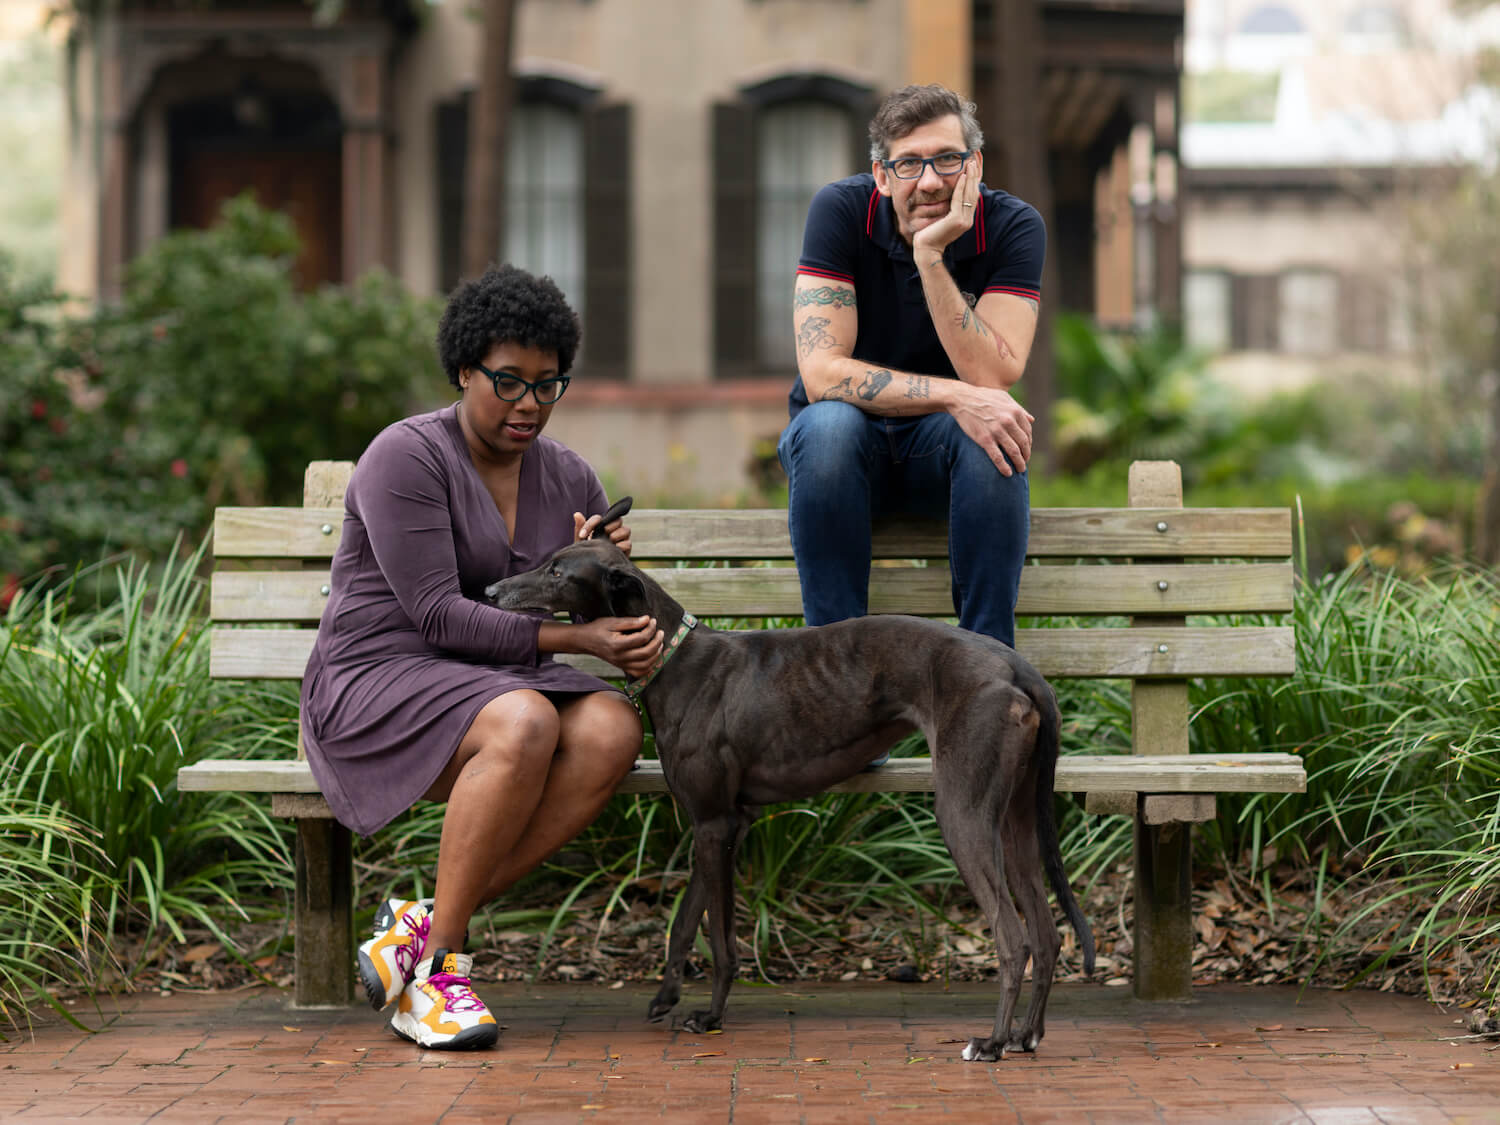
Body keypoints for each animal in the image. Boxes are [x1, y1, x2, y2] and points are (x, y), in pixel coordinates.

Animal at [486, 534, 1098, 1062]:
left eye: (558, 572)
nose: (490, 591)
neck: (674, 659)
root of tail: (1016, 665)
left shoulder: (715, 823)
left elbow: (721, 939)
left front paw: (709, 1018)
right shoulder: (720, 823)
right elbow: (685, 920)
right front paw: (665, 999)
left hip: (963, 812)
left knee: (1013, 937)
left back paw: (990, 1043)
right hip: (1017, 820)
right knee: (1046, 935)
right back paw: (1025, 1036)